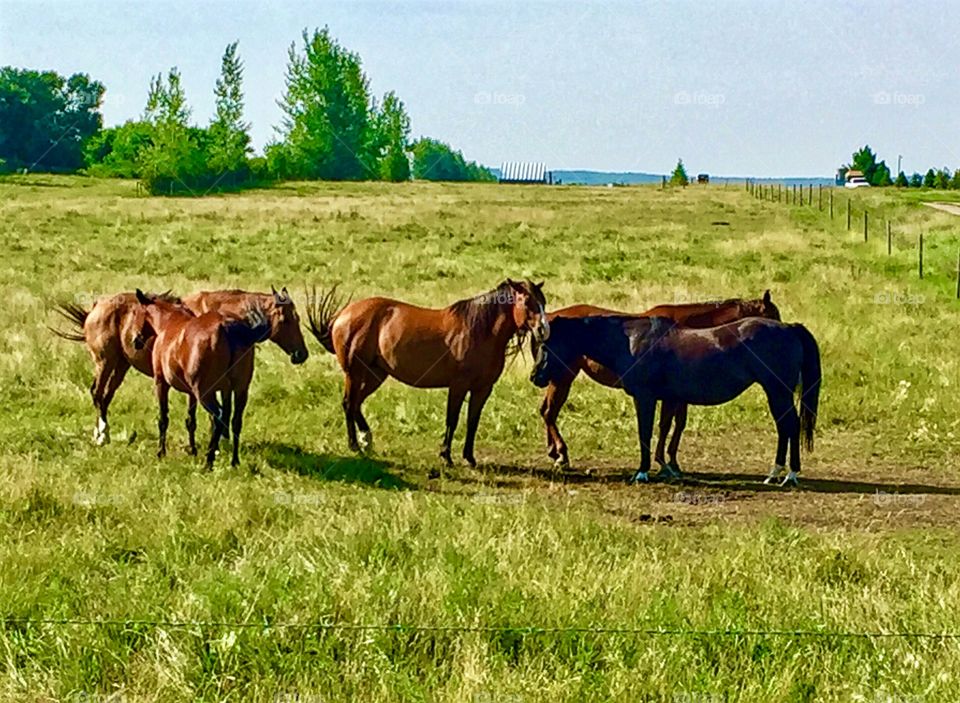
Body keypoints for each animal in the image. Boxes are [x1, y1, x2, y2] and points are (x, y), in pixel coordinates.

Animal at [51, 287, 308, 445]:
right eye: (288, 320)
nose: (301, 354)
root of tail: (97, 306)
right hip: (105, 362)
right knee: (97, 393)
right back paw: (102, 435)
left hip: (121, 365)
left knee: (105, 396)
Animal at [131, 290, 271, 468]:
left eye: (136, 313)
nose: (135, 340)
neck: (168, 323)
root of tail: (227, 327)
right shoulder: (193, 393)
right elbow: (191, 420)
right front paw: (192, 450)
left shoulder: (161, 383)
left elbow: (163, 419)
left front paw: (161, 452)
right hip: (240, 389)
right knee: (235, 420)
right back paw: (234, 461)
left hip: (205, 392)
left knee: (218, 417)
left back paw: (209, 461)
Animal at [307, 279, 548, 468]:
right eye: (527, 302)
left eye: (543, 302)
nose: (543, 330)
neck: (479, 331)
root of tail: (342, 315)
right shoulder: (458, 386)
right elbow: (452, 419)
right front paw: (446, 456)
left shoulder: (483, 389)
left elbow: (473, 421)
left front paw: (469, 457)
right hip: (355, 373)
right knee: (349, 403)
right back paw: (355, 445)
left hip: (376, 374)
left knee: (356, 403)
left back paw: (366, 439)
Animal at [530, 315, 820, 486]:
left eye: (547, 345)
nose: (535, 376)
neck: (632, 341)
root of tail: (789, 328)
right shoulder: (668, 399)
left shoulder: (645, 398)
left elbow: (645, 433)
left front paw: (642, 472)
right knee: (785, 427)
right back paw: (776, 473)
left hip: (778, 391)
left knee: (789, 426)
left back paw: (788, 474)